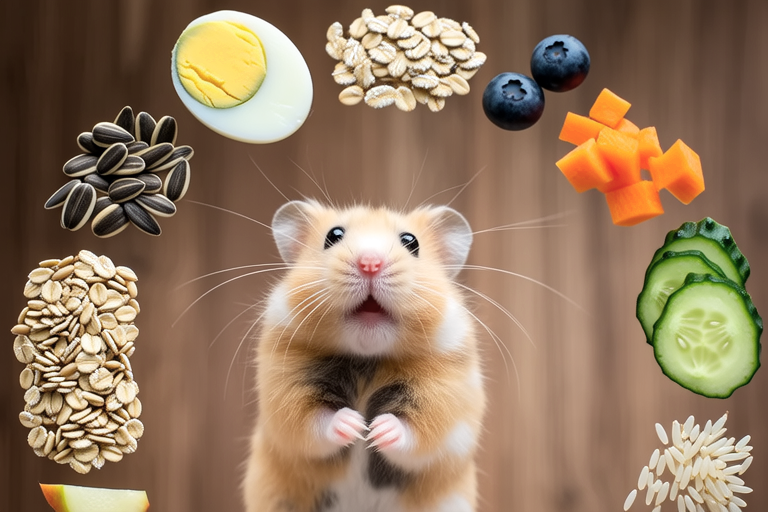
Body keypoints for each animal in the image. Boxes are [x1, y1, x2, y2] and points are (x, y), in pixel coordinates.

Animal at [242, 200, 486, 512]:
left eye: (411, 242)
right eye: (333, 236)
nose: (370, 263)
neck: (367, 359)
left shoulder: (445, 401)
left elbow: (417, 431)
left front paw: (377, 429)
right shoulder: (285, 393)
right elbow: (313, 421)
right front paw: (356, 424)